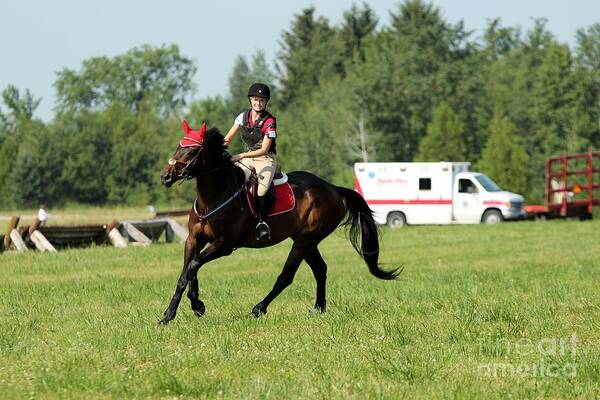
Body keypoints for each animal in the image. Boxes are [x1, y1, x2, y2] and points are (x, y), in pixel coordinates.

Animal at [158, 120, 398, 324]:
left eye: (192, 150)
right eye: (179, 146)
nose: (165, 177)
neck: (215, 195)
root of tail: (332, 188)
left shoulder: (224, 244)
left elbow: (194, 265)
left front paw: (197, 304)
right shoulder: (193, 239)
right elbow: (186, 273)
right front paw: (170, 314)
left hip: (304, 240)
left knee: (286, 276)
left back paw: (259, 308)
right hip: (306, 241)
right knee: (320, 269)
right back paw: (318, 308)